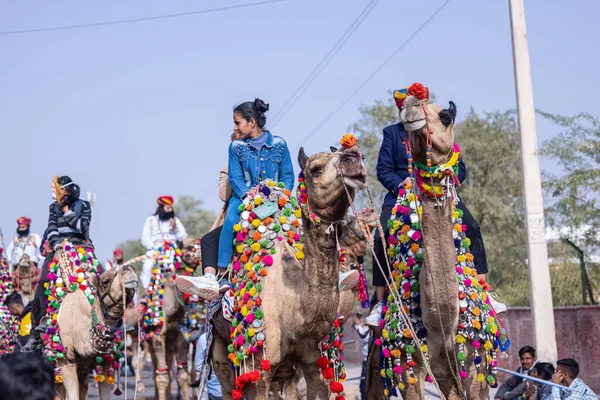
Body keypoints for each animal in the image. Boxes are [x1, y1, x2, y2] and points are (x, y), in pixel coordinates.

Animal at [209, 136, 368, 398]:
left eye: (362, 156)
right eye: (315, 169)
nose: (354, 157)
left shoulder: (316, 362)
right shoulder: (258, 366)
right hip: (220, 346)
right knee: (225, 381)